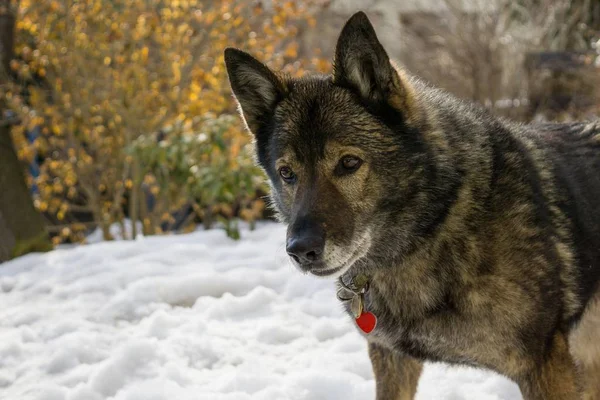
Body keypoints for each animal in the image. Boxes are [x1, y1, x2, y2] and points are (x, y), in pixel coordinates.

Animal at [224, 10, 600, 398]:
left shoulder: (546, 367)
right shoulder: (392, 359)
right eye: (287, 173)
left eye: (348, 163)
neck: (440, 223)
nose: (301, 250)